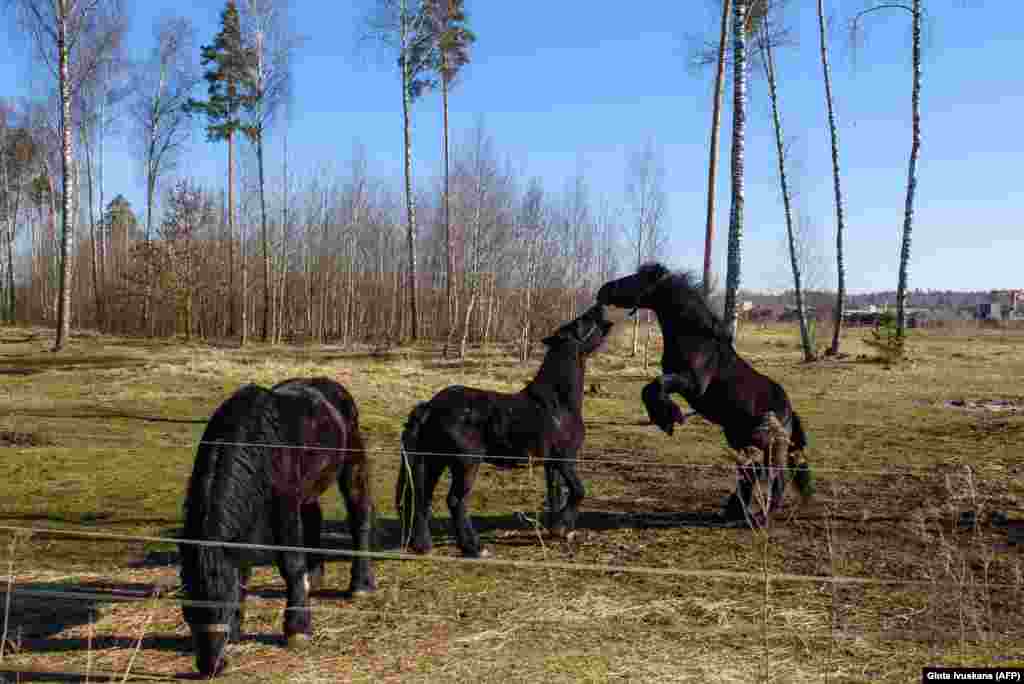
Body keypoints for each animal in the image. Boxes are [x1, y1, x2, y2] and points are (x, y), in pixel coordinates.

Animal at [180, 376, 376, 675]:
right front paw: (236, 629)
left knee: (359, 515)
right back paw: (313, 578)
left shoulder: (284, 505)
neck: (257, 441)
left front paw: (297, 630)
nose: (210, 666)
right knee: (313, 516)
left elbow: (290, 562)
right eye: (186, 608)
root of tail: (331, 386)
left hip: (352, 460)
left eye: (223, 603)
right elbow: (243, 568)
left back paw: (361, 585)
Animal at [395, 305, 610, 557]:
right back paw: (474, 548)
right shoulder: (564, 459)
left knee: (423, 498)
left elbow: (556, 494)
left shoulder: (552, 464)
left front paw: (558, 529)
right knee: (455, 501)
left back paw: (423, 545)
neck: (558, 403)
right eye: (581, 322)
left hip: (434, 461)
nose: (600, 306)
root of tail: (430, 406)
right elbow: (578, 491)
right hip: (466, 463)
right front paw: (563, 526)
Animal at [598, 262, 811, 524]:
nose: (604, 289)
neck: (697, 337)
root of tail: (789, 410)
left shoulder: (692, 383)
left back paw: (760, 518)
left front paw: (669, 417)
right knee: (752, 470)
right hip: (739, 437)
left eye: (638, 278)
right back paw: (734, 511)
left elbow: (655, 386)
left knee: (775, 476)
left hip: (767, 442)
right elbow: (649, 388)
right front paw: (665, 417)